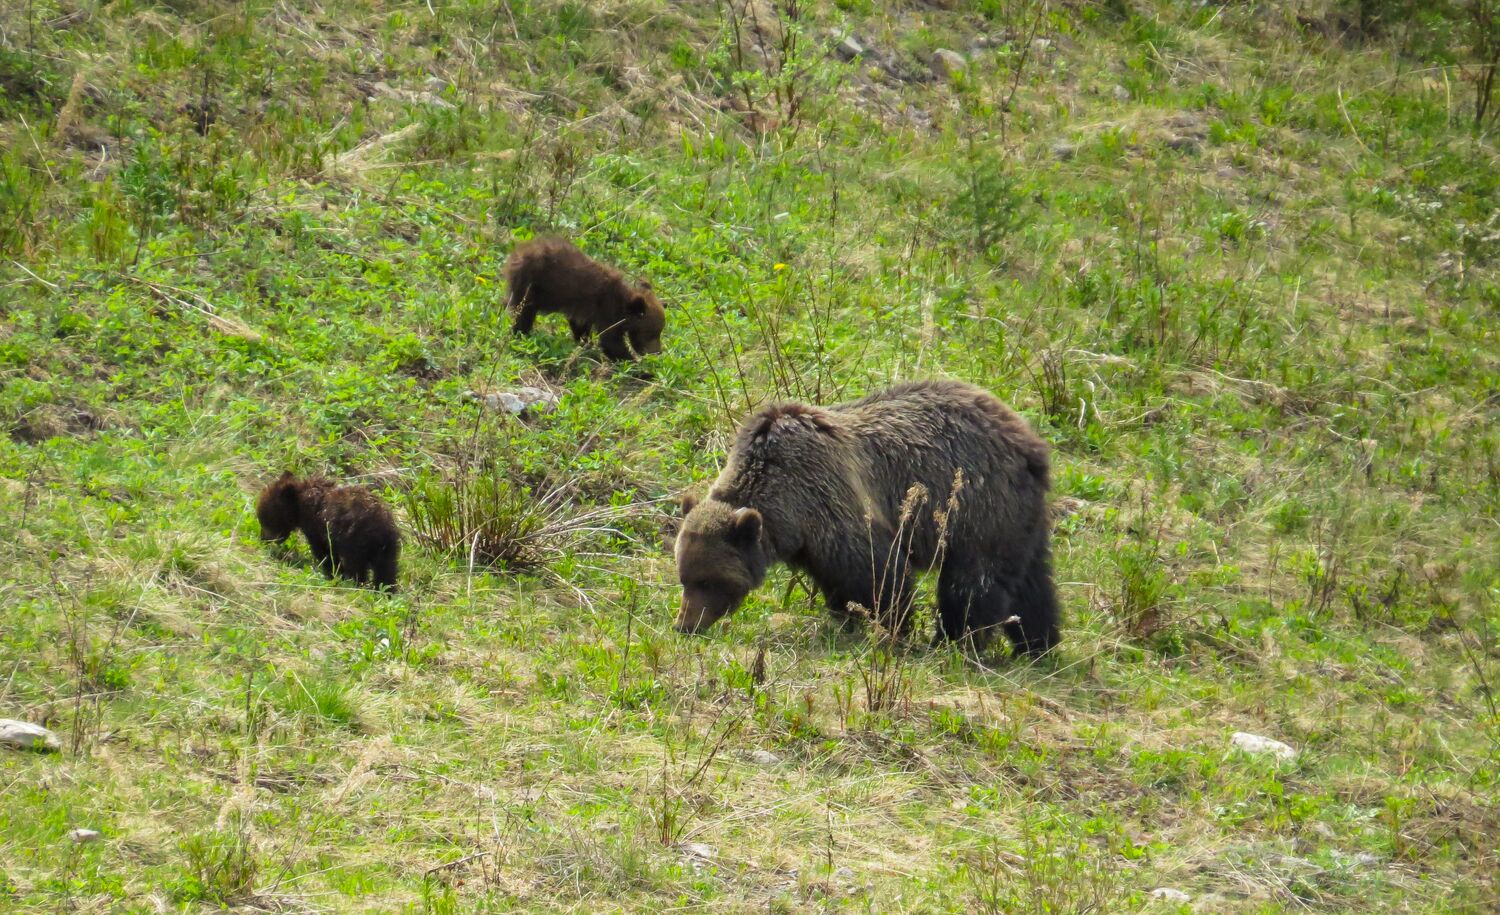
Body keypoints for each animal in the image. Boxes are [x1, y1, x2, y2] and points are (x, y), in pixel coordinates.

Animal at [256, 472, 400, 591]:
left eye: (264, 517)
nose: (263, 538)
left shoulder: (320, 529)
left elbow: (325, 552)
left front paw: (334, 573)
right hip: (388, 548)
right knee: (387, 570)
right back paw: (386, 590)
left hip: (357, 541)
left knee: (357, 565)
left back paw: (356, 582)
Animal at [503, 236, 665, 360]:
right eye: (653, 333)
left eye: (658, 332)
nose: (658, 352)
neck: (623, 305)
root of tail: (516, 253)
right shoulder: (607, 309)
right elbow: (611, 341)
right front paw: (640, 369)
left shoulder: (585, 310)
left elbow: (581, 327)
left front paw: (585, 344)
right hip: (531, 284)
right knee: (523, 312)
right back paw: (521, 333)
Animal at [673, 380, 1060, 656]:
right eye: (684, 577)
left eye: (707, 580)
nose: (684, 625)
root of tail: (1030, 441)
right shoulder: (812, 543)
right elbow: (837, 584)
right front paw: (846, 620)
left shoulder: (831, 501)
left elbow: (877, 573)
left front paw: (894, 626)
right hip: (1017, 518)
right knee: (1031, 582)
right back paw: (1037, 645)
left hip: (977, 508)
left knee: (973, 581)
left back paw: (955, 641)